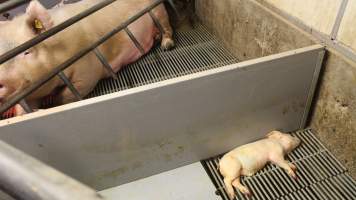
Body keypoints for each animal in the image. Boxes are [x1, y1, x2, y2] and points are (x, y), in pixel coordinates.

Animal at [0, 0, 174, 115]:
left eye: (27, 52)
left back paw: (166, 45)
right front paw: (36, 109)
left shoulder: (89, 68)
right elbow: (23, 110)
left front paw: (51, 104)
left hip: (159, 12)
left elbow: (68, 95)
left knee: (167, 28)